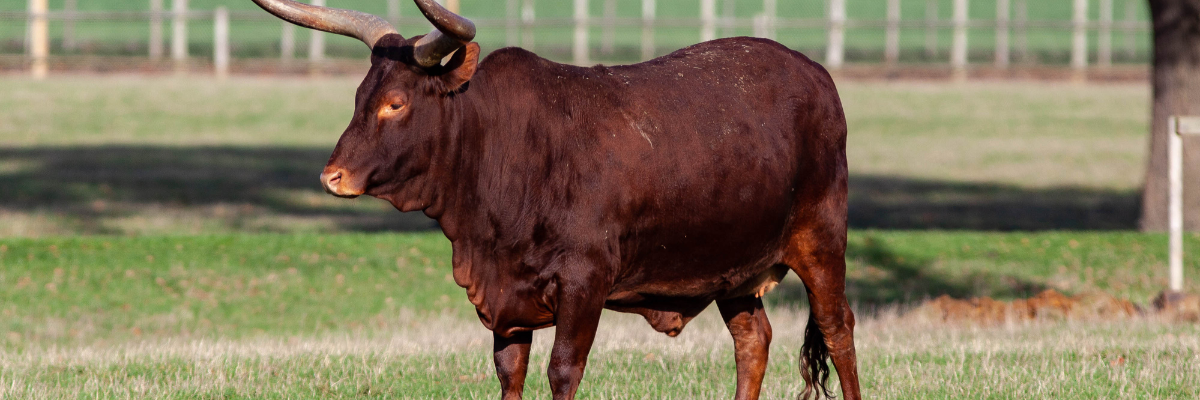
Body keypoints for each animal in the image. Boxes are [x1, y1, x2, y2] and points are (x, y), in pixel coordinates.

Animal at [250, 1, 864, 396]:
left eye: (396, 104)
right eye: (360, 95)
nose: (332, 176)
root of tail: (815, 72)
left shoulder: (584, 282)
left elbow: (563, 370)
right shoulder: (506, 300)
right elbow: (510, 371)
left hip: (821, 239)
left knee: (838, 331)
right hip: (732, 269)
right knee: (752, 341)